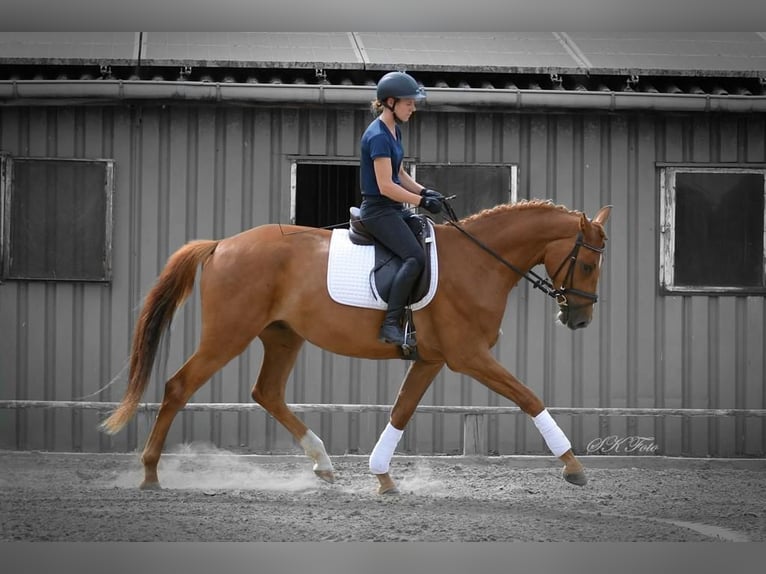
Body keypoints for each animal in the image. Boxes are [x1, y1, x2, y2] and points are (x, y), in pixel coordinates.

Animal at [100, 199, 612, 494]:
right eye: (588, 264)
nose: (580, 319)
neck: (478, 262)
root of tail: (223, 244)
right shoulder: (469, 356)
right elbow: (529, 397)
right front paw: (573, 467)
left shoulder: (431, 359)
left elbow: (402, 410)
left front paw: (382, 475)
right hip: (229, 333)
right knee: (179, 385)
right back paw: (150, 473)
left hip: (282, 335)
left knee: (267, 392)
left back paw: (324, 464)